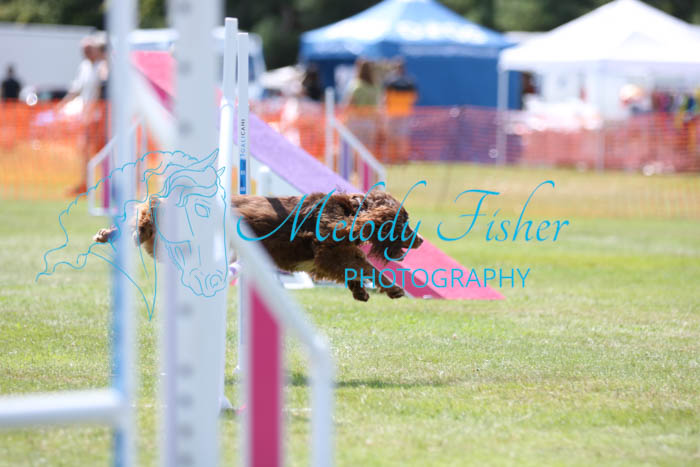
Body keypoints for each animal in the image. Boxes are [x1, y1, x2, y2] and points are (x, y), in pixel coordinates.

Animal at [94, 190, 423, 301]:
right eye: (404, 222)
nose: (420, 240)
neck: (353, 211)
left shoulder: (330, 258)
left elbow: (360, 268)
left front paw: (362, 291)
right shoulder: (330, 250)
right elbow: (366, 266)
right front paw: (392, 288)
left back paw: (110, 234)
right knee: (149, 208)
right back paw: (118, 232)